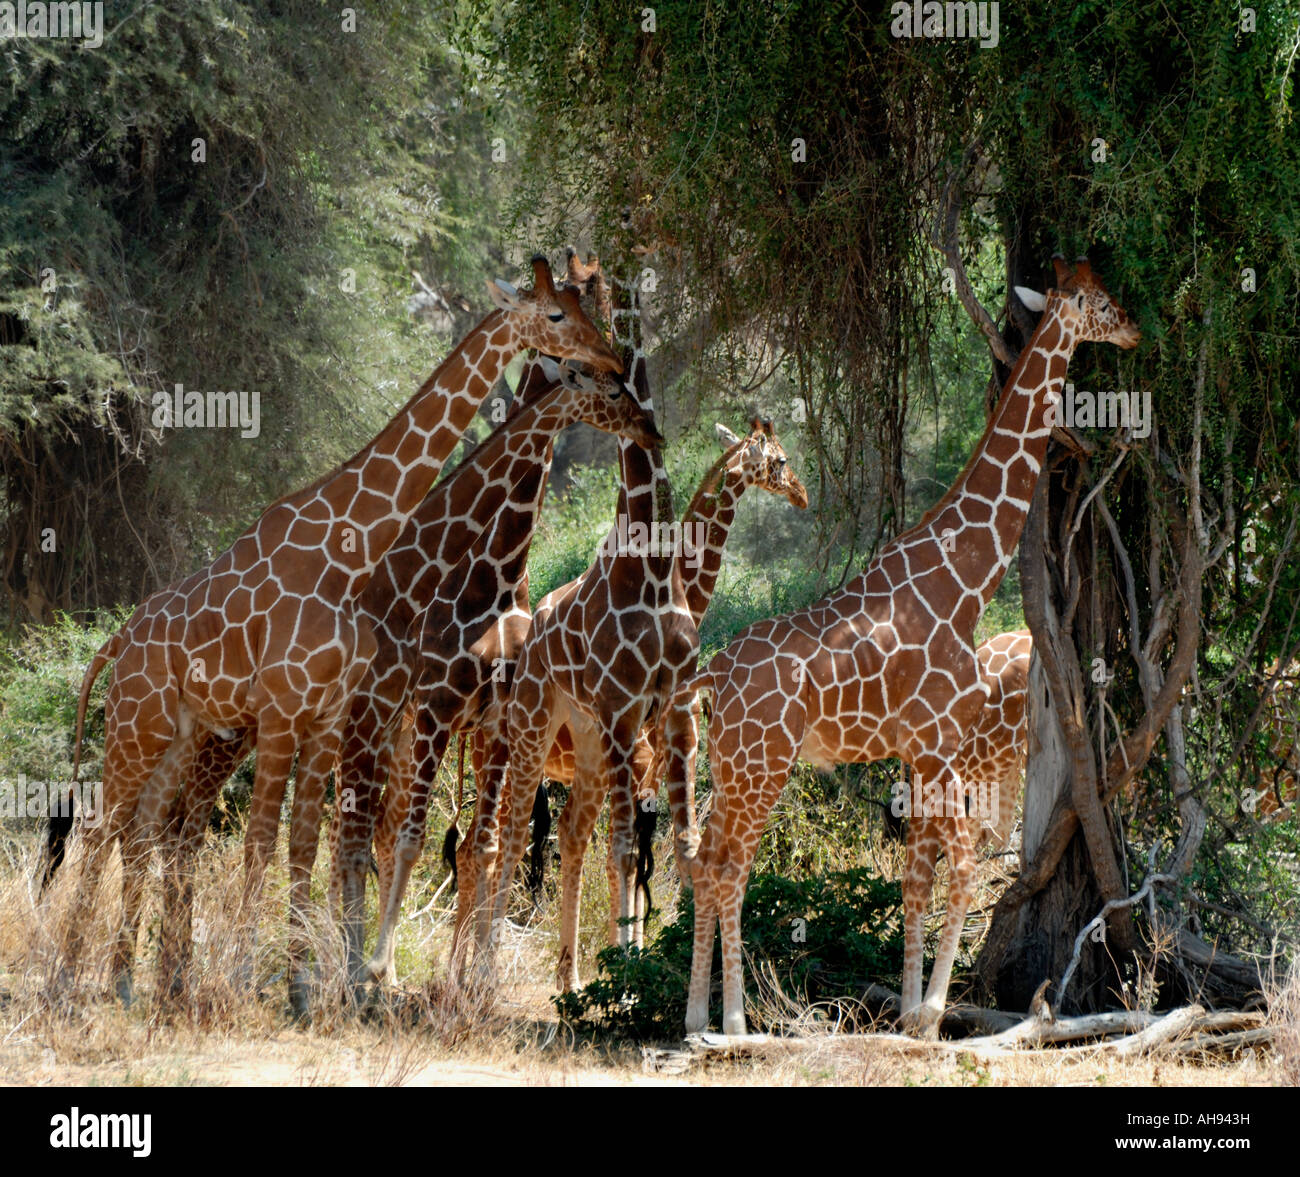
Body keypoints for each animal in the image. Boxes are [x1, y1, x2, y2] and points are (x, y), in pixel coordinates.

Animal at [61, 254, 624, 998]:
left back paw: (131, 980)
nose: (613, 362)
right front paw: (259, 973)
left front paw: (307, 984)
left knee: (147, 829)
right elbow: (276, 840)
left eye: (597, 306)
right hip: (144, 723)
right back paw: (75, 977)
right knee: (110, 828)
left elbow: (310, 841)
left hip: (180, 730)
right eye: (558, 313)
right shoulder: (297, 709)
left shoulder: (336, 715)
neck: (349, 548)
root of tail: (115, 642)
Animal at [665, 254, 1144, 1030]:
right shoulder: (943, 743)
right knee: (730, 867)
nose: (1132, 326)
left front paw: (914, 1007)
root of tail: (711, 676)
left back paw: (697, 1020)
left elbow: (919, 877)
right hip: (763, 763)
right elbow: (962, 868)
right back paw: (734, 1023)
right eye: (1097, 300)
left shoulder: (923, 751)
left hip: (731, 763)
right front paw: (932, 1010)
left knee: (707, 861)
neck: (968, 576)